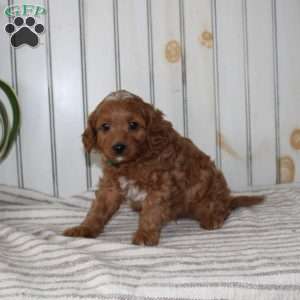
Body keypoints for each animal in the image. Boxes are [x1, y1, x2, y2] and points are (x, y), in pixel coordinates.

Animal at [63, 90, 262, 245]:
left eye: (133, 125)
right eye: (105, 127)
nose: (118, 147)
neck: (133, 161)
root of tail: (228, 198)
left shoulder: (160, 186)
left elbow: (151, 212)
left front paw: (145, 235)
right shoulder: (110, 186)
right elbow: (98, 210)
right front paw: (84, 228)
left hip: (210, 194)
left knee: (222, 209)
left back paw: (213, 218)